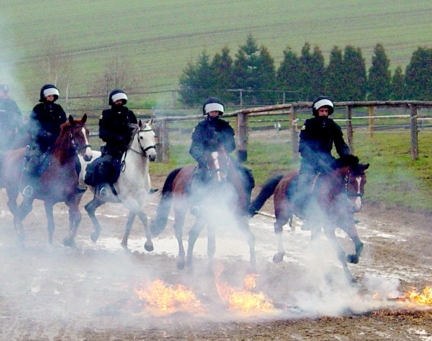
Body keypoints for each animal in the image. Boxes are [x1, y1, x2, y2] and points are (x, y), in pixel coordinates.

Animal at [0, 114, 92, 244]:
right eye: (77, 134)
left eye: (87, 132)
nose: (88, 155)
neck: (60, 168)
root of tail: (8, 154)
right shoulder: (48, 201)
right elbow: (51, 225)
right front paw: (50, 246)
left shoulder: (71, 199)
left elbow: (78, 217)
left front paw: (68, 240)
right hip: (12, 190)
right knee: (13, 207)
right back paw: (20, 233)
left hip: (29, 197)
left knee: (23, 209)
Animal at [83, 119, 158, 250]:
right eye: (141, 137)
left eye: (153, 135)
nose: (152, 156)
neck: (137, 171)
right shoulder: (128, 200)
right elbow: (143, 216)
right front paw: (149, 244)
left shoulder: (139, 200)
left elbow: (131, 219)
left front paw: (124, 243)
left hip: (102, 198)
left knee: (89, 207)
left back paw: (94, 235)